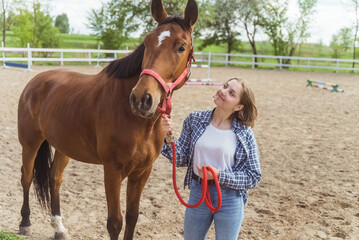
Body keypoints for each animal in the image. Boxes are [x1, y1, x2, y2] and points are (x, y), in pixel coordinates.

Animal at [17, 0, 200, 239]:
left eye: (181, 47)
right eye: (147, 42)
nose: (141, 98)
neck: (137, 121)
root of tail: (36, 81)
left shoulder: (142, 172)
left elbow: (132, 217)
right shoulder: (112, 171)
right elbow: (115, 222)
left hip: (64, 147)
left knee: (54, 178)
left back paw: (59, 228)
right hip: (30, 144)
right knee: (26, 177)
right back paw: (25, 222)